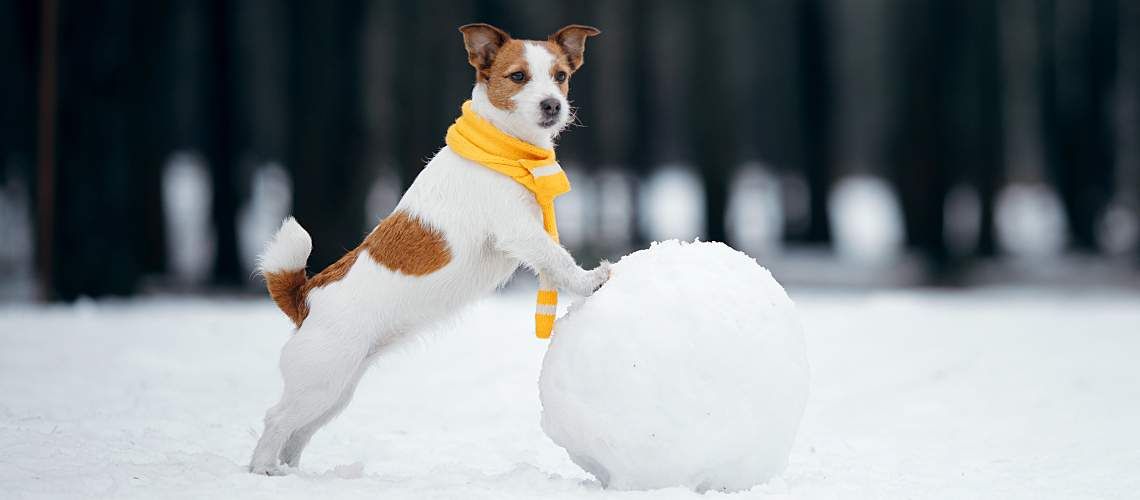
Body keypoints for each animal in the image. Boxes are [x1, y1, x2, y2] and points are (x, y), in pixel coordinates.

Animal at [249, 24, 606, 478]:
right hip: (321, 378)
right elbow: (558, 258)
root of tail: (305, 297)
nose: (552, 105)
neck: (505, 148)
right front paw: (592, 281)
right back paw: (263, 469)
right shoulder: (520, 232)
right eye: (518, 76)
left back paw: (293, 471)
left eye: (560, 76)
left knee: (298, 432)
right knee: (276, 419)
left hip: (336, 389)